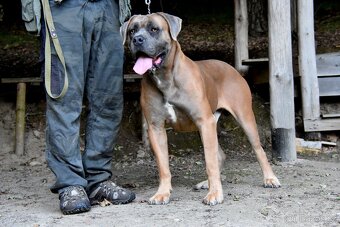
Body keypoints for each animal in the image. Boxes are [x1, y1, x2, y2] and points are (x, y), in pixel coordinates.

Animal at [121, 12, 280, 206]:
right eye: (132, 30)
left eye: (154, 29)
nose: (137, 39)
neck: (165, 77)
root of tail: (232, 68)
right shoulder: (156, 127)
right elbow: (163, 166)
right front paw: (162, 193)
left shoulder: (205, 121)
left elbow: (209, 163)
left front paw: (215, 194)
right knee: (220, 155)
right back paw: (207, 183)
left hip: (243, 119)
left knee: (258, 150)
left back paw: (269, 179)